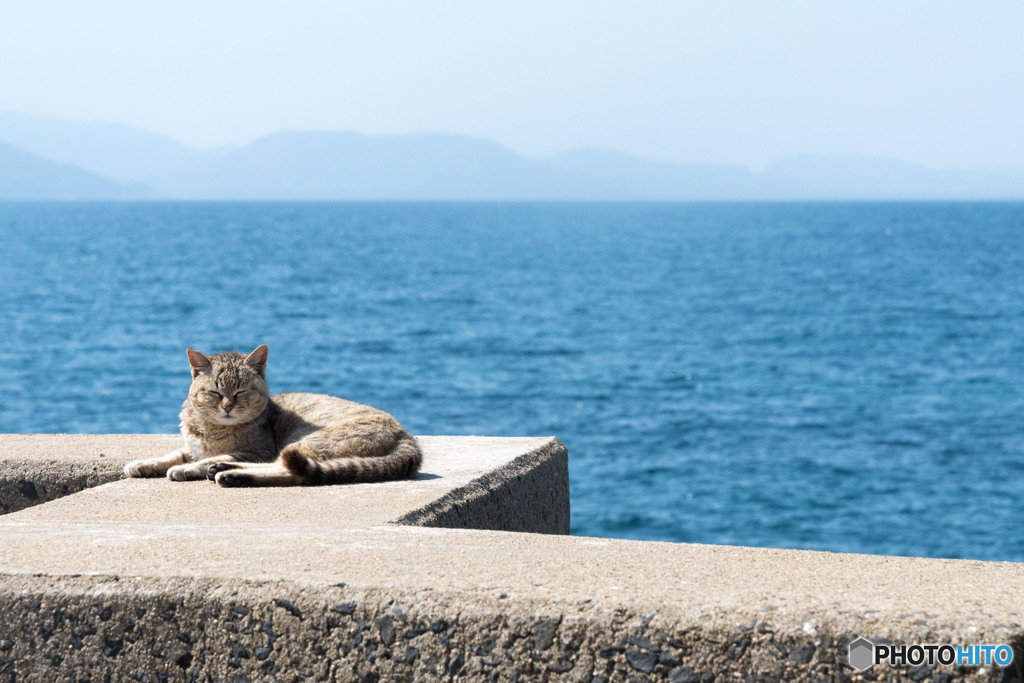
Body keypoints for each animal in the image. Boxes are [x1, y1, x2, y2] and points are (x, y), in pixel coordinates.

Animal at [122, 348, 419, 485]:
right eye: (215, 393)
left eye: (241, 392)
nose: (227, 407)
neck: (211, 430)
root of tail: (408, 437)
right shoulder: (192, 447)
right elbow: (173, 454)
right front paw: (145, 464)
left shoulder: (258, 451)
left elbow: (199, 460)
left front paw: (186, 469)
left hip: (305, 442)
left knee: (289, 470)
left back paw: (229, 474)